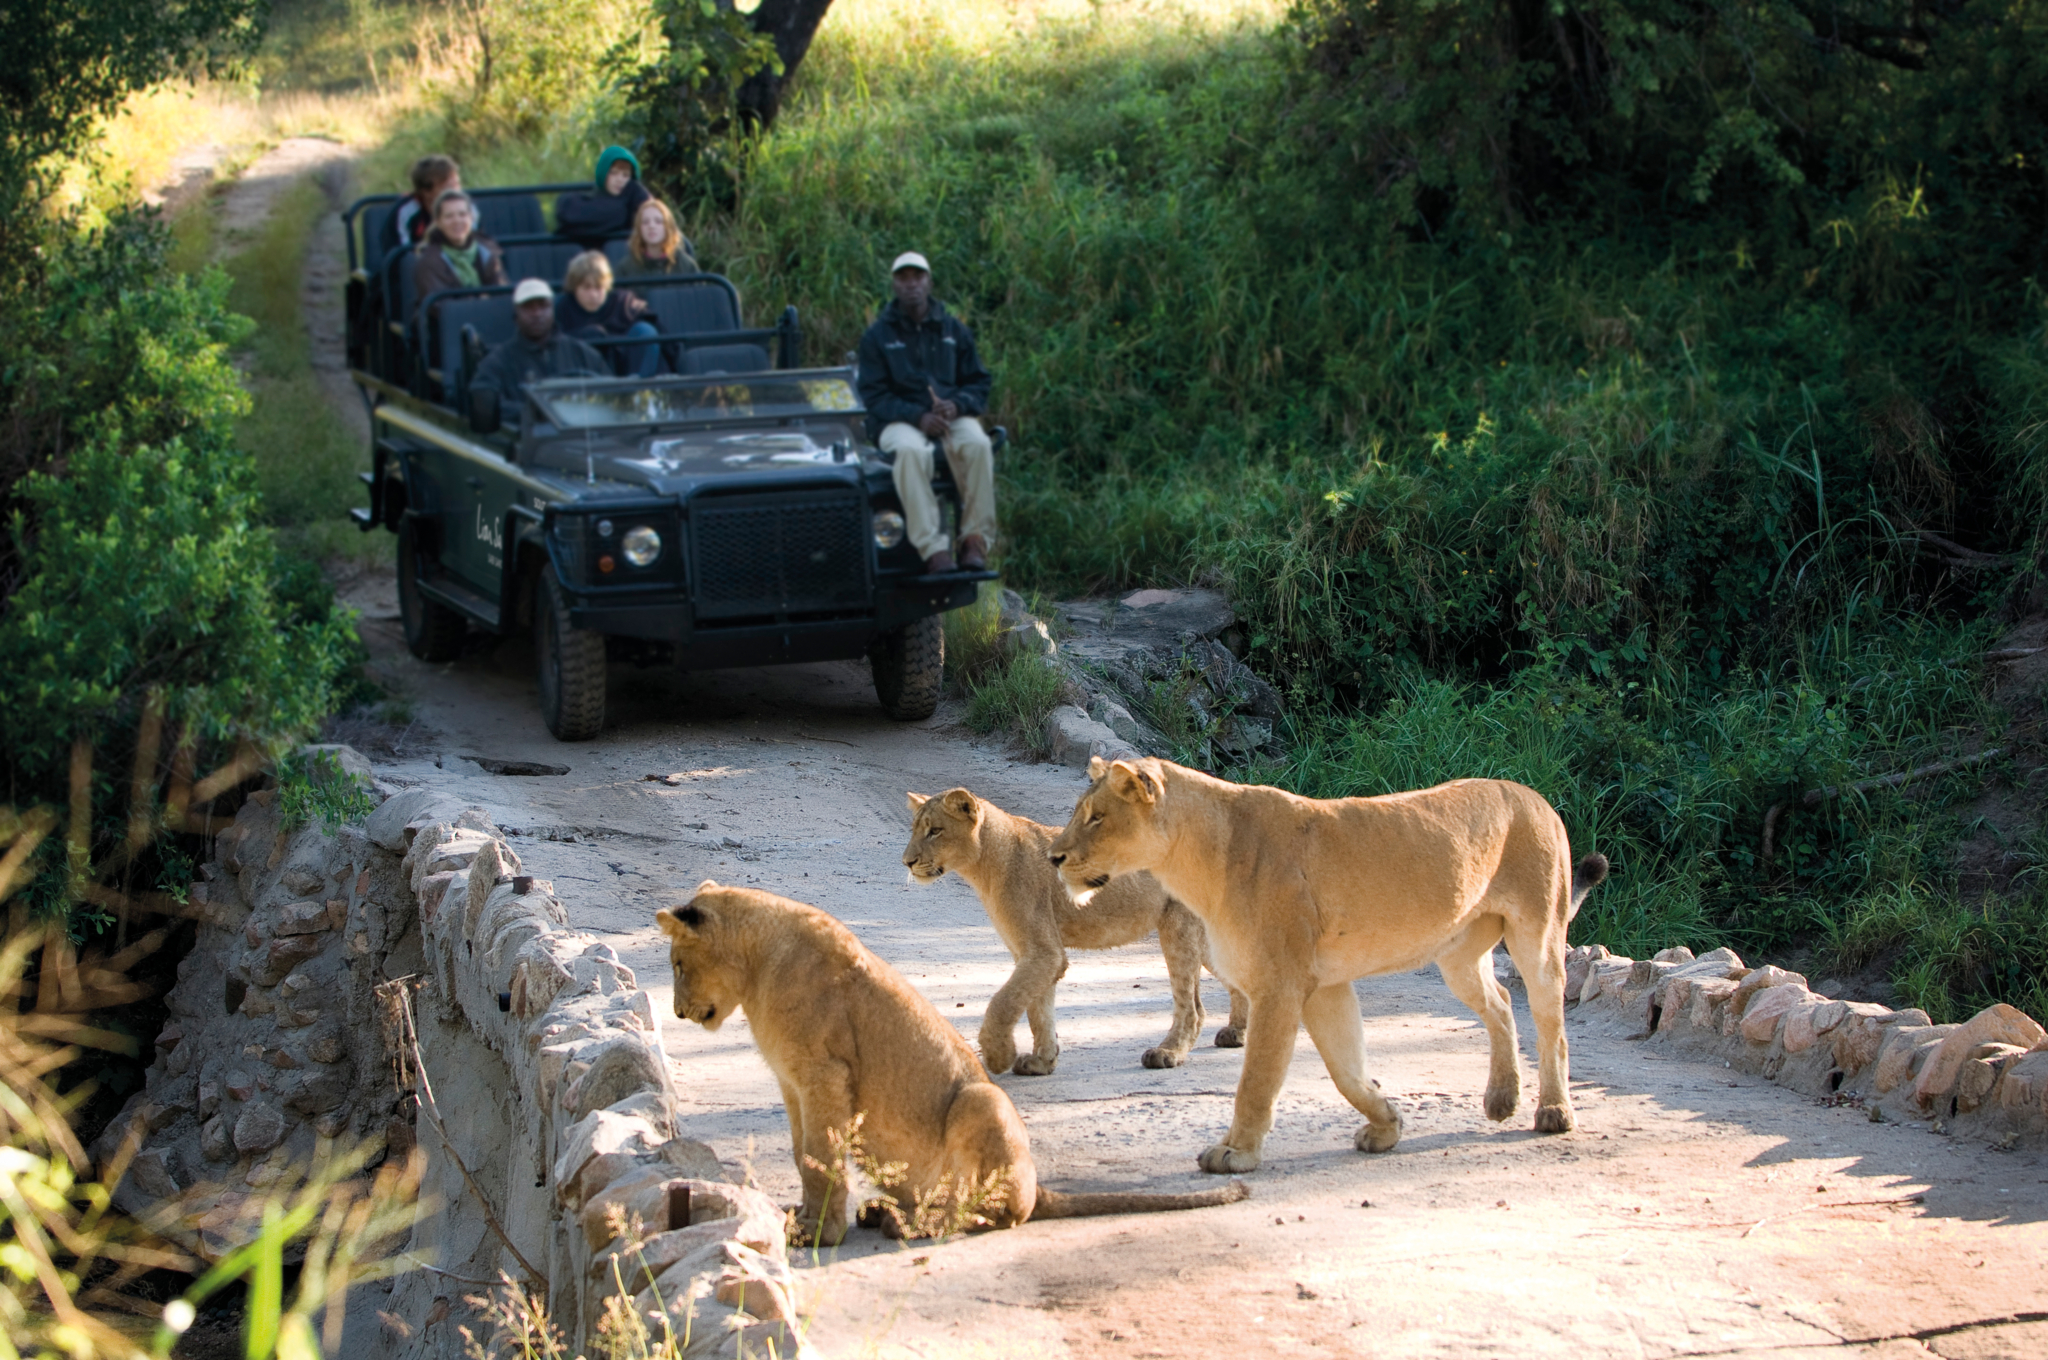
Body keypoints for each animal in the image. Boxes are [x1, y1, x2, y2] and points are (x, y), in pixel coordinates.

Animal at [654, 882, 1251, 1245]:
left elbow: (820, 1159)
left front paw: (820, 1234)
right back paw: (888, 1212)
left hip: (982, 1100)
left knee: (998, 1212)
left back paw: (910, 1225)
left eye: (679, 963)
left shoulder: (825, 1078)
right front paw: (799, 1219)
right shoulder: (792, 1085)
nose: (678, 1012)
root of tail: (1040, 1184)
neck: (758, 965)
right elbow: (804, 1155)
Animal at [902, 788, 1248, 1076]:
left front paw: (999, 1056)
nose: (907, 862)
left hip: (1178, 928)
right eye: (914, 829)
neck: (984, 862)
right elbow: (1038, 1009)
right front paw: (1042, 1061)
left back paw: (1168, 1053)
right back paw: (1237, 1033)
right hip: (1201, 937)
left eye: (935, 831)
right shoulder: (1034, 953)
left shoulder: (1044, 952)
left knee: (1192, 1008)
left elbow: (1003, 1003)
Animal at [1047, 757, 1609, 1174]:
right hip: (1457, 956)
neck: (1194, 860)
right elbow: (1346, 1071)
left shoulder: (1279, 985)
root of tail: (1535, 797)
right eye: (1079, 812)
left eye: (1096, 817)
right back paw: (1501, 1098)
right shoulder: (1323, 987)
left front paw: (1235, 1152)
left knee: (1550, 1023)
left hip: (1538, 936)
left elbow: (1257, 1079)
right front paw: (1386, 1124)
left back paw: (1553, 1110)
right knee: (1502, 1002)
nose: (1054, 858)